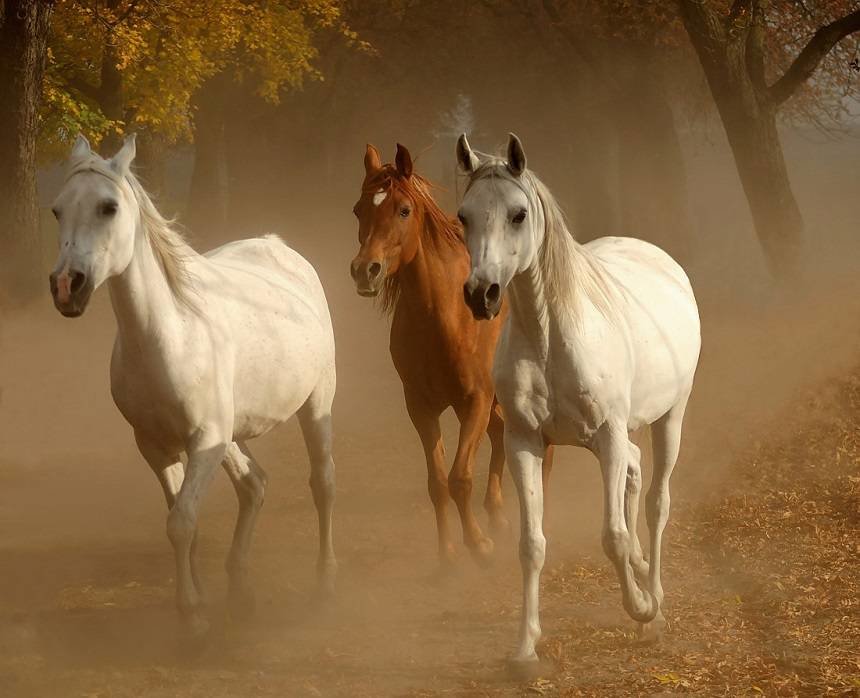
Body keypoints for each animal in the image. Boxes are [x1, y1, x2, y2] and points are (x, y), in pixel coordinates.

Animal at [49, 134, 338, 636]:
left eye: (108, 207)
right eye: (57, 210)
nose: (67, 285)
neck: (172, 334)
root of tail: (281, 250)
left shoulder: (204, 442)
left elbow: (182, 522)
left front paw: (194, 622)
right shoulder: (157, 447)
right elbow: (184, 524)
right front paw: (199, 604)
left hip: (315, 405)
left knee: (322, 483)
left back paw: (323, 582)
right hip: (232, 433)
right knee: (254, 485)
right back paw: (241, 593)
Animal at [349, 143, 553, 568]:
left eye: (403, 210)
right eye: (358, 209)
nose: (365, 270)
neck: (443, 318)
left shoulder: (474, 400)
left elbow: (461, 478)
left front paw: (479, 545)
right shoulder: (421, 407)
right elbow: (438, 482)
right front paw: (447, 555)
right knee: (499, 438)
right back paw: (497, 514)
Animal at [456, 133, 701, 662]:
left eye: (518, 214)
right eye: (464, 215)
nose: (481, 294)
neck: (551, 338)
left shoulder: (607, 436)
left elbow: (612, 536)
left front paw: (641, 608)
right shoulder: (524, 442)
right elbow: (531, 545)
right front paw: (525, 648)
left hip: (669, 417)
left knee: (657, 501)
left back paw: (655, 602)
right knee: (634, 474)